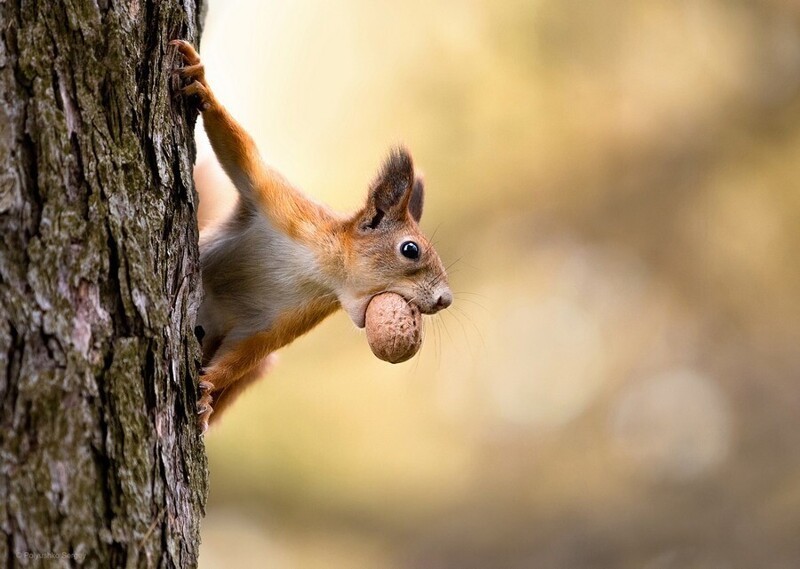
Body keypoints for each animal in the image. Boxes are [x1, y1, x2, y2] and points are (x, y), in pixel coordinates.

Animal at [172, 40, 454, 430]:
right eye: (410, 249)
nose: (446, 299)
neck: (320, 268)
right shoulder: (281, 205)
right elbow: (243, 157)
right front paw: (203, 88)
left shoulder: (284, 321)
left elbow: (245, 352)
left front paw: (208, 388)